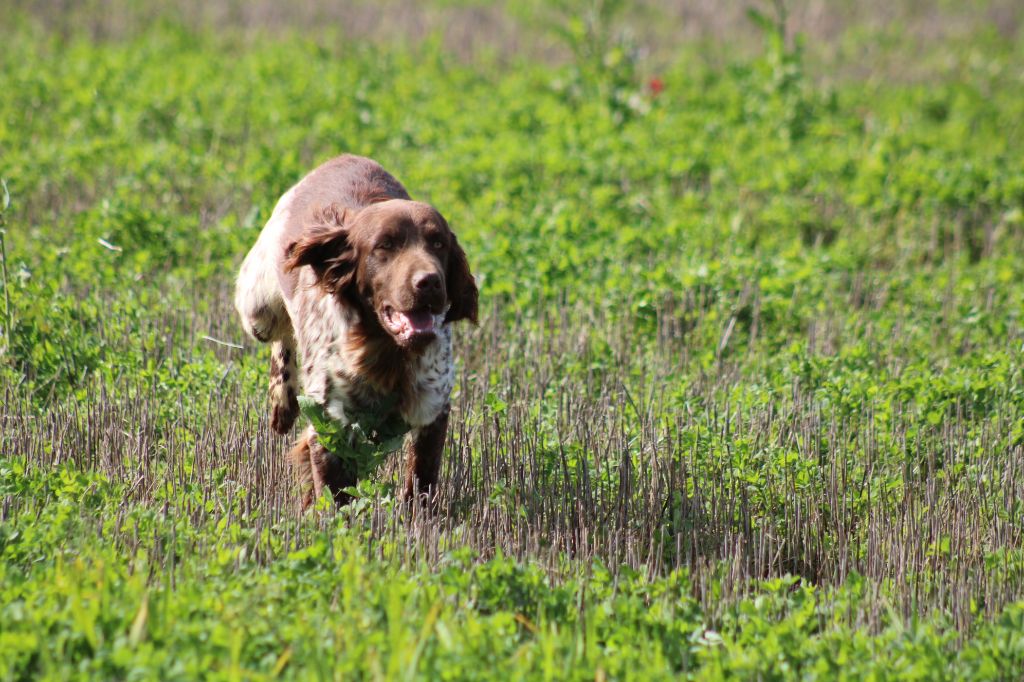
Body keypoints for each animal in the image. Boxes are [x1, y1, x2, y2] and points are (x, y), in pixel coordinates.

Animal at [235, 152, 479, 503]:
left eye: (438, 243)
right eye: (385, 245)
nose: (430, 282)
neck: (384, 350)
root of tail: (344, 157)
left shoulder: (431, 408)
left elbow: (420, 482)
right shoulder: (330, 421)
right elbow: (335, 492)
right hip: (258, 308)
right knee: (282, 339)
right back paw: (282, 404)